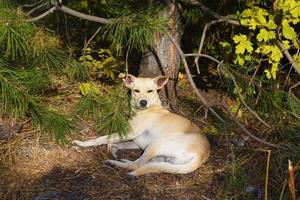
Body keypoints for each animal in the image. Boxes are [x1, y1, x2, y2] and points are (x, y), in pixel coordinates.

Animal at [72, 74, 210, 178]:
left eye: (150, 91)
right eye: (136, 91)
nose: (143, 102)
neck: (149, 109)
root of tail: (202, 154)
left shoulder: (129, 133)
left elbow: (102, 138)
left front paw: (82, 143)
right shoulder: (136, 141)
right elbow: (112, 142)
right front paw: (113, 149)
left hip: (156, 143)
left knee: (137, 165)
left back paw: (114, 163)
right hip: (162, 158)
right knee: (144, 164)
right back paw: (122, 160)